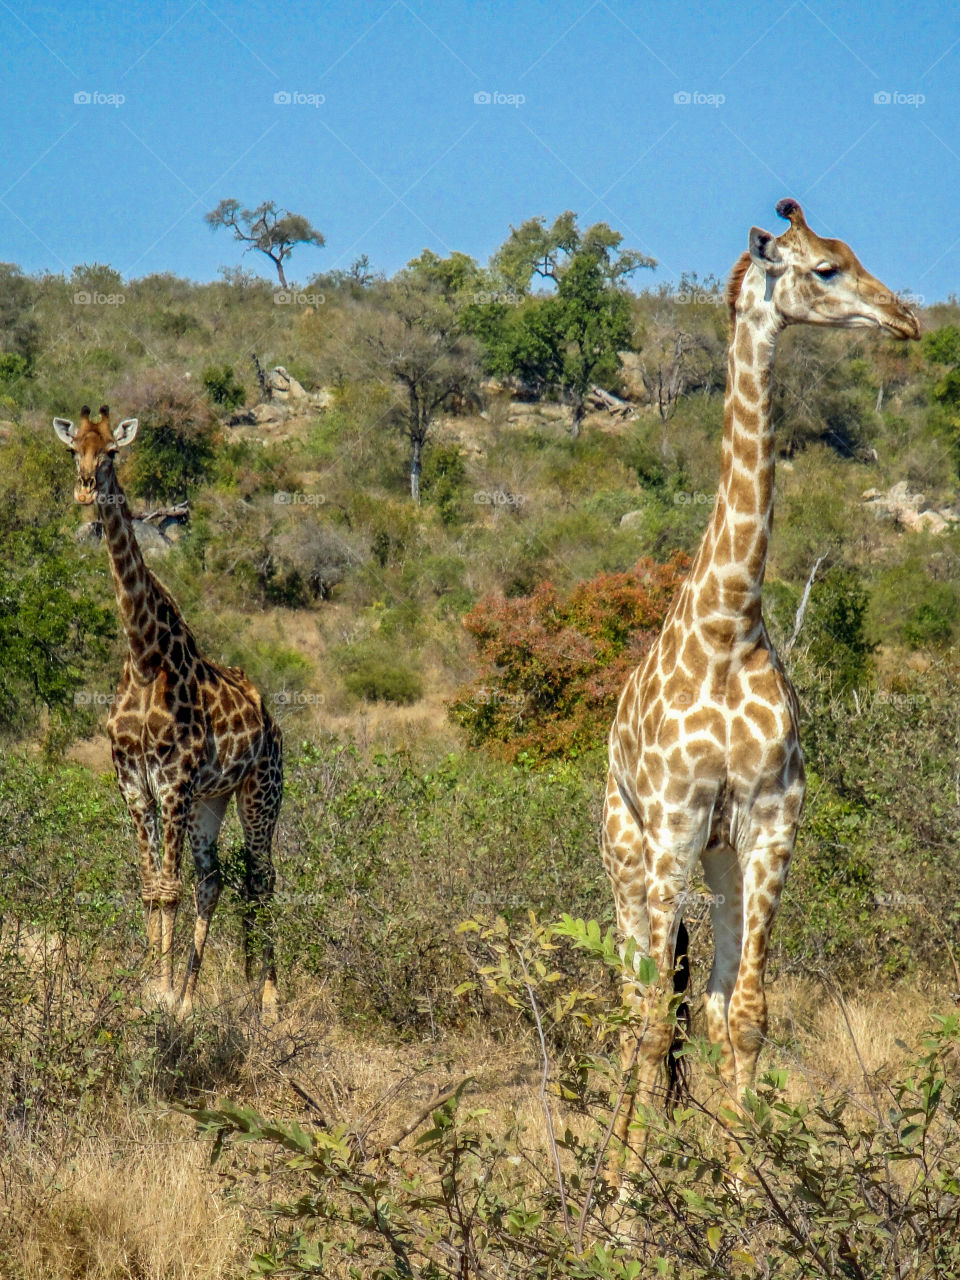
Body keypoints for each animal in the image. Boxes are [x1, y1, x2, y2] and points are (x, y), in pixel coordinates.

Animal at [53, 404, 284, 1013]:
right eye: (74, 450)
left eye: (112, 452)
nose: (85, 490)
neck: (142, 656)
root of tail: (274, 724)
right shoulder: (135, 786)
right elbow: (150, 887)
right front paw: (151, 988)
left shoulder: (173, 783)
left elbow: (168, 889)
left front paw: (157, 991)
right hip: (213, 801)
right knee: (214, 879)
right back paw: (191, 991)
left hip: (260, 794)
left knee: (262, 878)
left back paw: (269, 1000)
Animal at [604, 199, 921, 1177]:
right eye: (823, 269)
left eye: (851, 254)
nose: (906, 317)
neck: (729, 625)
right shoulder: (672, 826)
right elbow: (650, 1023)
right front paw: (630, 1198)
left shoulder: (774, 821)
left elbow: (743, 1015)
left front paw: (750, 1188)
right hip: (627, 852)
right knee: (630, 1006)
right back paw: (610, 1171)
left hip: (715, 860)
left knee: (690, 1005)